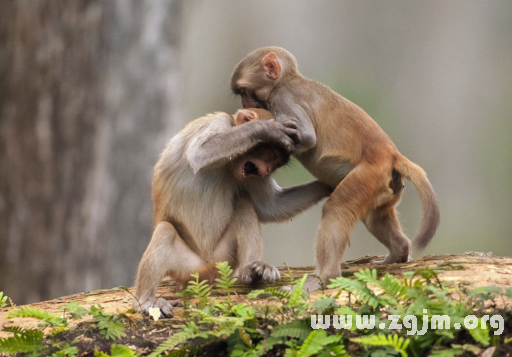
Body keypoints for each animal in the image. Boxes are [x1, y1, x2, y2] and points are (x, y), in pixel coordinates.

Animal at [133, 107, 332, 312]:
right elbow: (199, 153)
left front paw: (327, 186)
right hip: (187, 267)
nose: (268, 171)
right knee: (166, 230)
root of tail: (207, 268)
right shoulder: (220, 122)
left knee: (243, 204)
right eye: (270, 156)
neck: (228, 163)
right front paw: (266, 129)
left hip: (224, 257)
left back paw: (251, 268)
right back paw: (146, 301)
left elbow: (270, 207)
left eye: (276, 164)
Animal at [232, 46, 440, 290]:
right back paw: (398, 252)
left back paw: (325, 278)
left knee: (337, 210)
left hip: (366, 176)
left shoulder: (284, 100)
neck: (288, 81)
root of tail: (391, 154)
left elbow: (307, 137)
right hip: (384, 186)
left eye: (244, 91)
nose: (244, 105)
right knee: (375, 217)